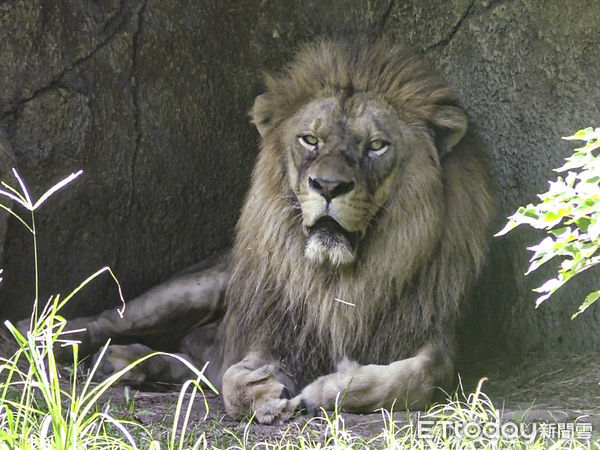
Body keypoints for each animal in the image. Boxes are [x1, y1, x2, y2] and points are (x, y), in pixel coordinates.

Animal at [32, 37, 492, 422]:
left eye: (377, 145)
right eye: (310, 140)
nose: (328, 186)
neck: (337, 280)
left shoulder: (439, 338)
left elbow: (412, 378)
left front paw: (326, 390)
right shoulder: (271, 329)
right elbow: (232, 381)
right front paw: (262, 393)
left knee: (189, 360)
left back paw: (128, 363)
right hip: (193, 290)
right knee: (105, 320)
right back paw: (48, 340)